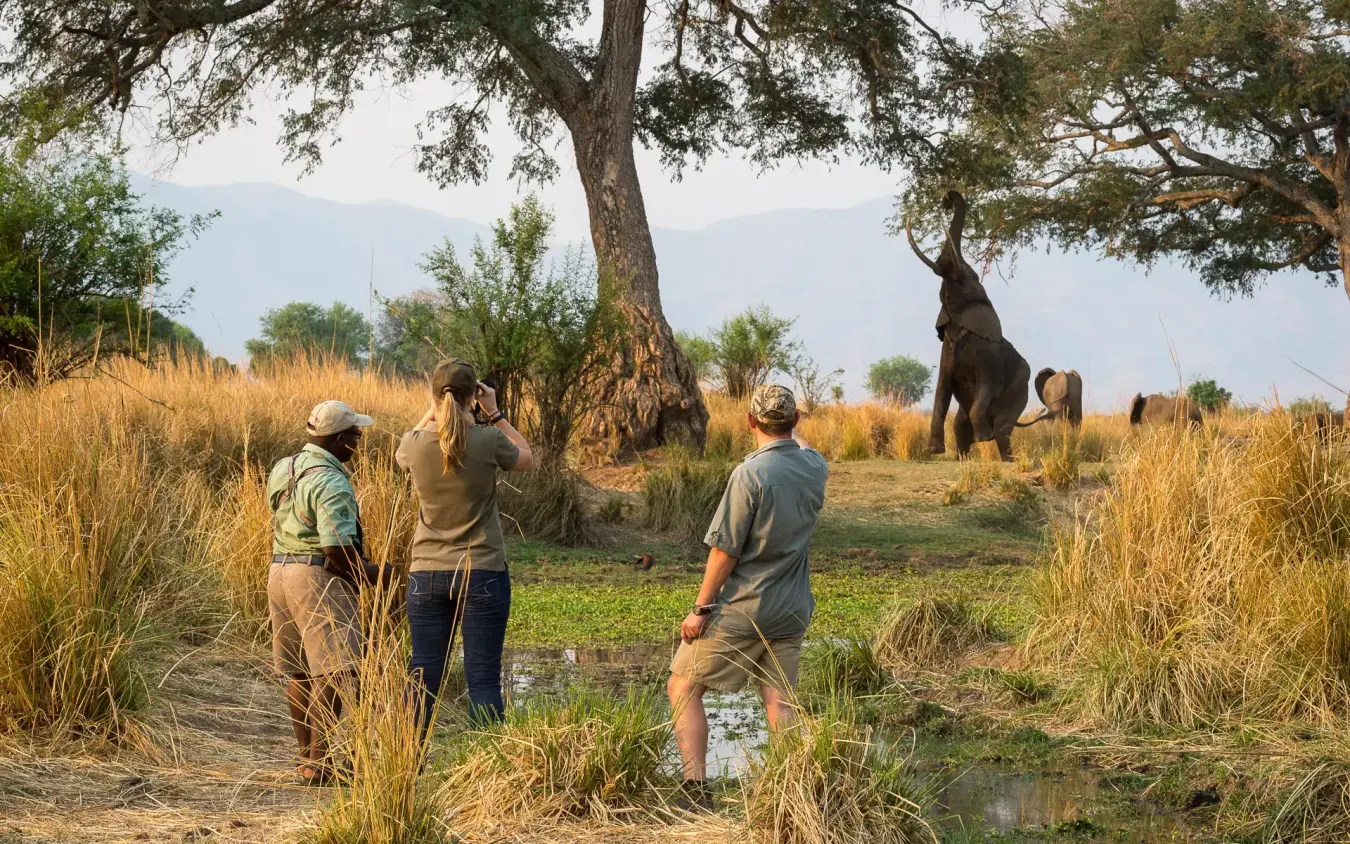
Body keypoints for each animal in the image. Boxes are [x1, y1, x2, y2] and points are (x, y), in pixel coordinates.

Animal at [907, 191, 1045, 461]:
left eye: (972, 277)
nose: (947, 198)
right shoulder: (946, 352)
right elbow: (941, 394)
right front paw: (935, 451)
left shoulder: (989, 358)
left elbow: (986, 388)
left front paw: (984, 439)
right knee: (959, 424)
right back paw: (963, 459)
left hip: (1019, 389)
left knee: (1001, 426)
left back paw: (1007, 459)